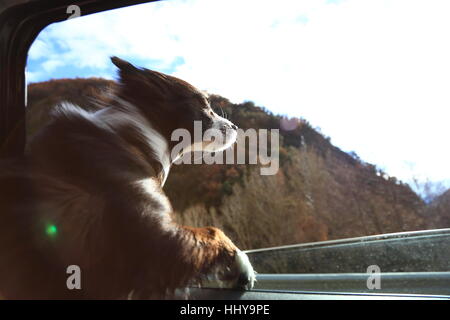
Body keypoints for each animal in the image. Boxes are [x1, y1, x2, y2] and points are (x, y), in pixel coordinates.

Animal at [0, 57, 255, 300]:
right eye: (204, 104)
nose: (235, 126)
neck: (135, 138)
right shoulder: (154, 239)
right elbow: (214, 232)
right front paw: (243, 267)